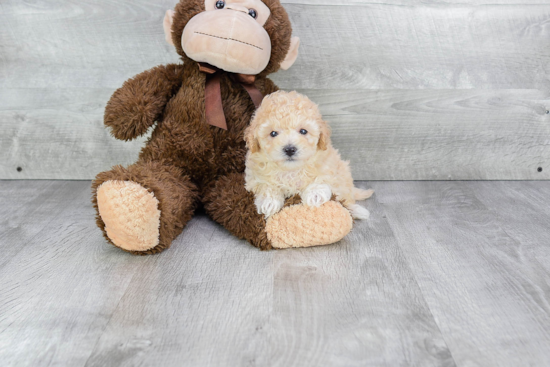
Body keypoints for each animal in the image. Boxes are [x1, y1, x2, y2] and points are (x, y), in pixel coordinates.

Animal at [246, 91, 376, 220]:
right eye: (273, 133)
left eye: (303, 131)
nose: (290, 149)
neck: (291, 170)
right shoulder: (254, 176)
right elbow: (266, 185)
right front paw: (269, 201)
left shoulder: (329, 165)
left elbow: (321, 177)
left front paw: (315, 194)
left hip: (344, 174)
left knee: (346, 198)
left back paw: (358, 211)